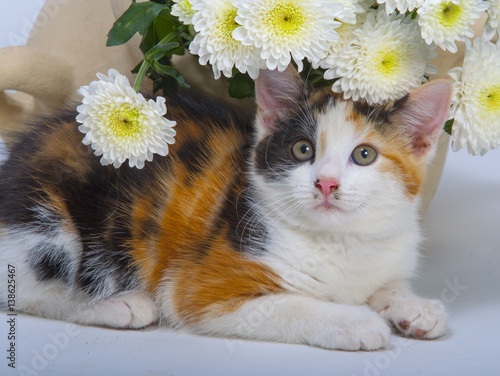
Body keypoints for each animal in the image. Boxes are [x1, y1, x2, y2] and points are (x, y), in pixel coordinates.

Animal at [0, 67, 452, 350]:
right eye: (302, 150)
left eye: (364, 155)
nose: (326, 183)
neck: (340, 241)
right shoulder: (198, 286)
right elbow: (293, 305)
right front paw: (354, 322)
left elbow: (385, 284)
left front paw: (411, 306)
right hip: (46, 219)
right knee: (28, 287)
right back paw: (118, 304)